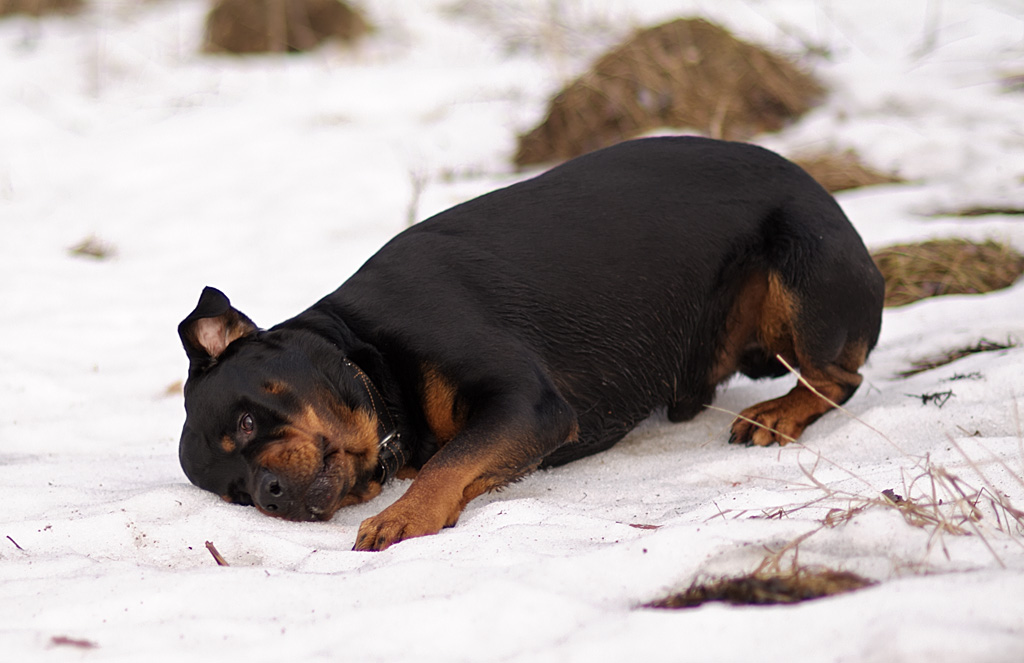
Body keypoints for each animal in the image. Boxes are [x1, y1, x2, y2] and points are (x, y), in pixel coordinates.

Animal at [180, 135, 884, 549]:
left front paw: (404, 514)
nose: (268, 495)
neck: (370, 359)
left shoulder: (528, 403)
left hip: (802, 268)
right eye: (236, 495)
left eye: (247, 421)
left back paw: (778, 413)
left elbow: (449, 462)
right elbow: (462, 461)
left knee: (840, 377)